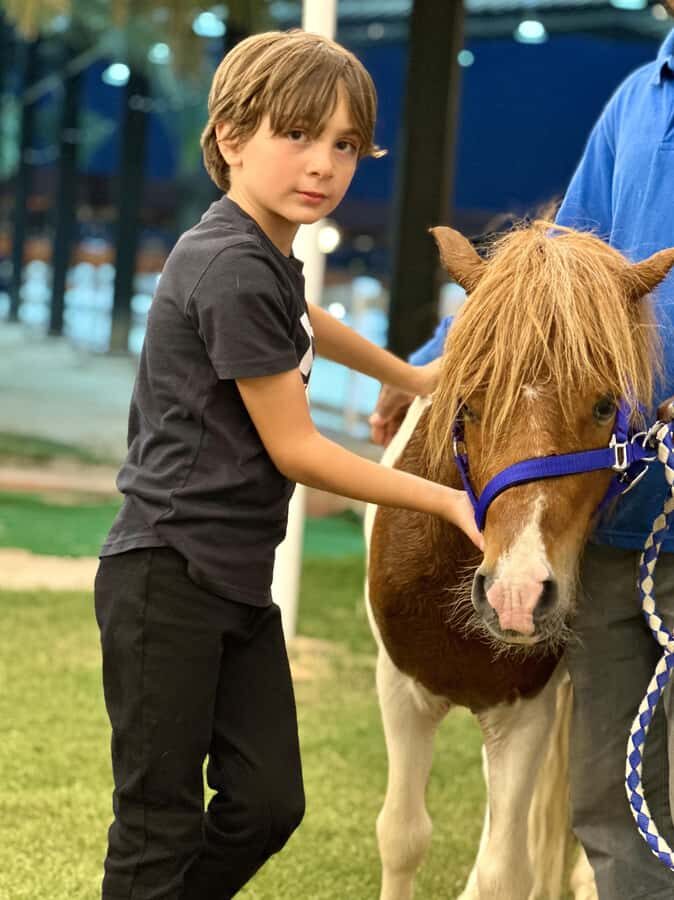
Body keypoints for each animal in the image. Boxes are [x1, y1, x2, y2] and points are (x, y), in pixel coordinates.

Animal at [365, 220, 674, 900]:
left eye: (604, 406)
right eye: (468, 402)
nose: (517, 594)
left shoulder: (526, 712)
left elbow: (506, 869)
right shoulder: (400, 690)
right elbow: (402, 836)